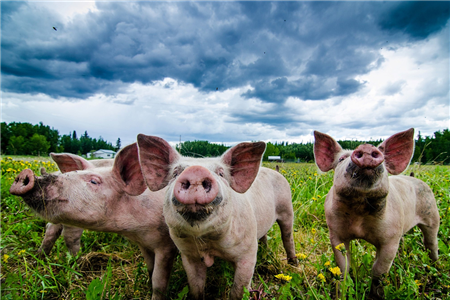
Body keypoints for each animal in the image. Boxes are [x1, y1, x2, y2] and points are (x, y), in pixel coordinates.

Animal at [9, 144, 177, 298]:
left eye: (94, 182)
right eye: (71, 173)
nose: (26, 174)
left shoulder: (165, 245)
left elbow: (158, 281)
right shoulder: (144, 243)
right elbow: (150, 269)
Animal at [137, 135, 298, 300]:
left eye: (221, 173)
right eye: (175, 172)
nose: (196, 170)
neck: (208, 243)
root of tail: (276, 171)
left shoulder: (248, 252)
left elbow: (238, 290)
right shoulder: (188, 255)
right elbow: (196, 288)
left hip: (287, 208)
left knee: (287, 237)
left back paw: (294, 265)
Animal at [312, 127, 440, 298]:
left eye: (384, 161)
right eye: (341, 159)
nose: (366, 147)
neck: (359, 212)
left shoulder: (391, 239)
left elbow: (379, 271)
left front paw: (376, 295)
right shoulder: (335, 233)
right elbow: (343, 267)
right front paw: (341, 293)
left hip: (432, 214)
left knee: (431, 243)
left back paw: (436, 268)